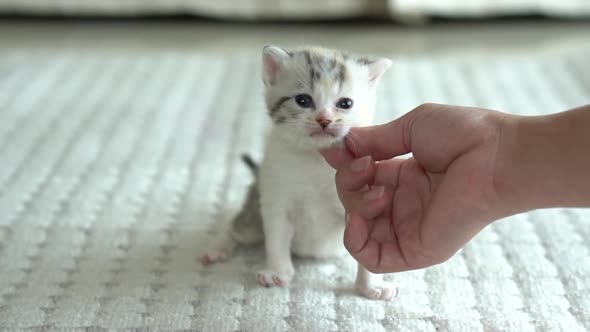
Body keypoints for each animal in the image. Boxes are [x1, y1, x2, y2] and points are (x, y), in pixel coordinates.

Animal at [201, 44, 400, 300]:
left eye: (345, 103)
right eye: (303, 100)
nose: (324, 119)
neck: (315, 158)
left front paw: (370, 285)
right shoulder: (275, 199)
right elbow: (276, 239)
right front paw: (278, 272)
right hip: (254, 212)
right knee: (235, 227)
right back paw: (217, 248)